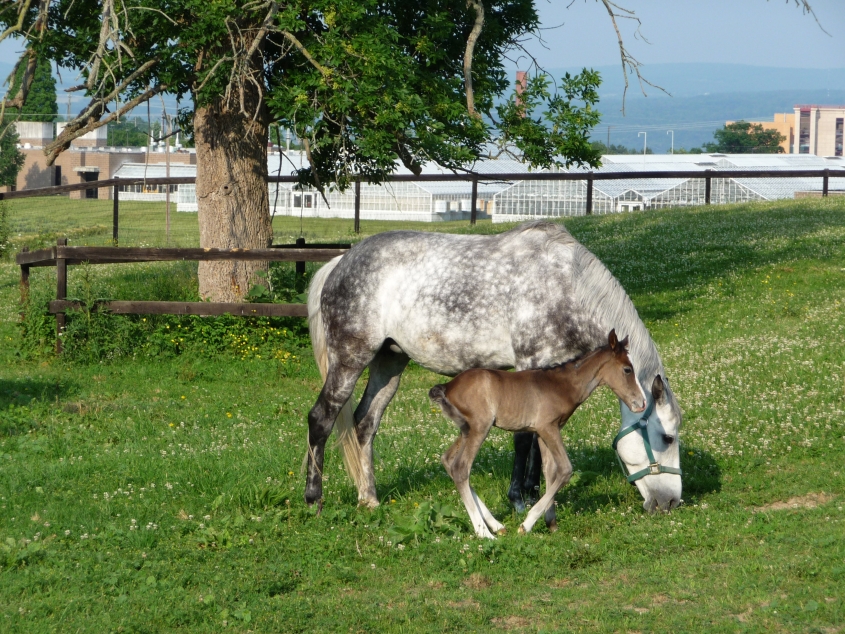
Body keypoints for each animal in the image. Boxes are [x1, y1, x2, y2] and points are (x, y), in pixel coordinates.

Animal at [428, 328, 648, 536]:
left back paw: (497, 525)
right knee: (461, 467)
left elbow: (550, 471)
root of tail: (448, 387)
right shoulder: (548, 427)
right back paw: (484, 532)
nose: (641, 403)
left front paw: (551, 523)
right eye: (627, 369)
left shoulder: (543, 432)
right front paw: (527, 524)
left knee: (448, 460)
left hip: (466, 430)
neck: (563, 384)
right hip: (479, 428)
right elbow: (565, 469)